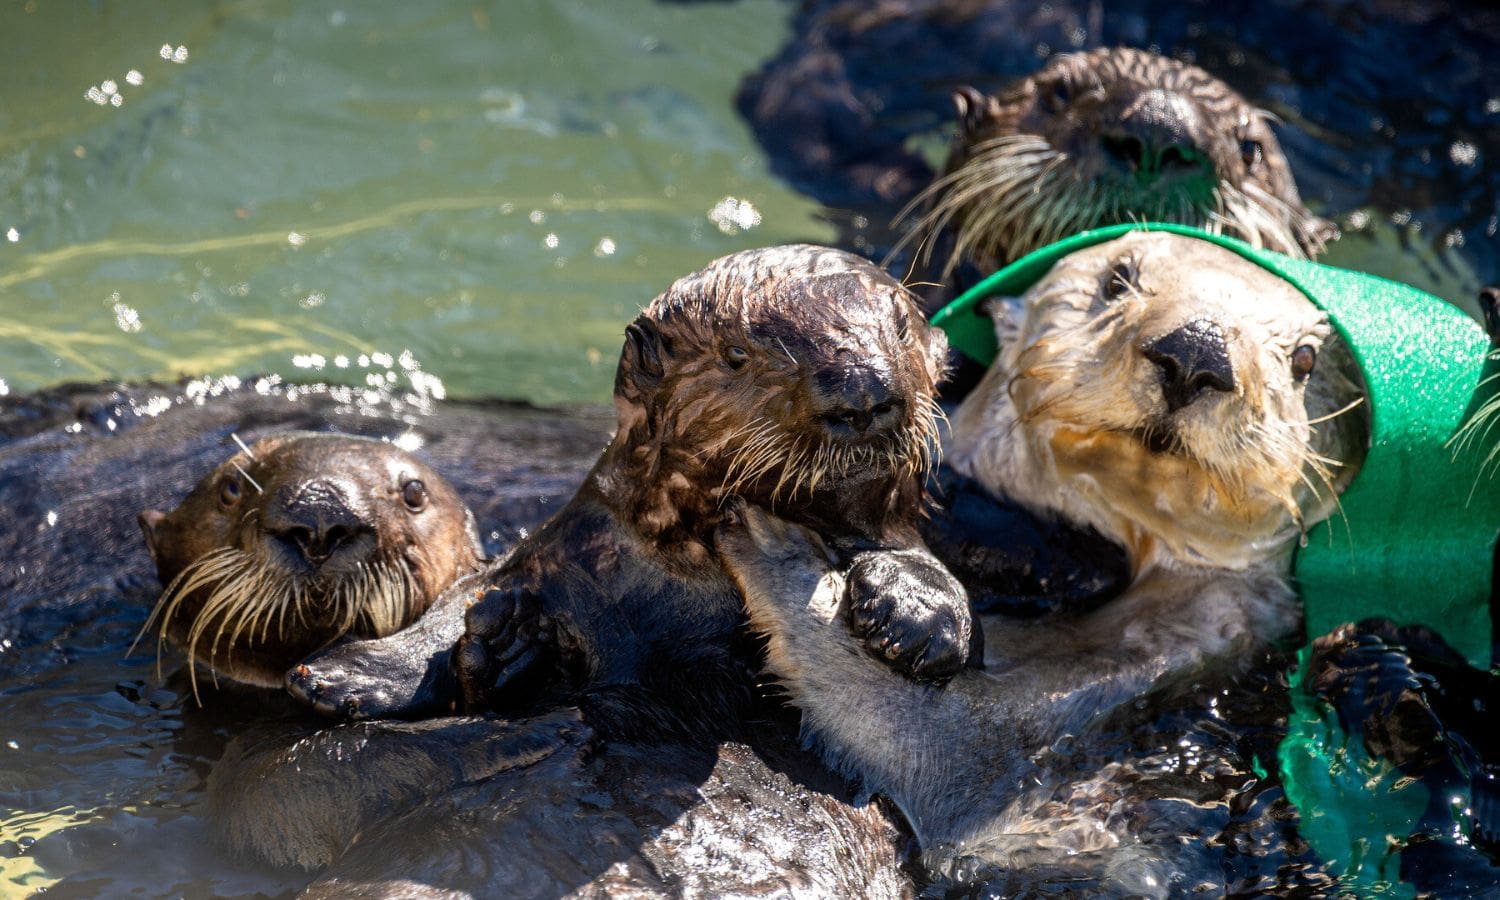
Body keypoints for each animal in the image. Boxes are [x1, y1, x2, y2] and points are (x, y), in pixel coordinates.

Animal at [292, 241, 972, 738]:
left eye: (901, 329)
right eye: (735, 355)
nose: (862, 393)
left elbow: (903, 550)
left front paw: (918, 613)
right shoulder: (566, 550)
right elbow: (463, 599)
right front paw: (349, 675)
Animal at [714, 232, 1374, 894]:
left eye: (1306, 359)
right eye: (1117, 278)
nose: (1197, 349)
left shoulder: (1188, 644)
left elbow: (944, 746)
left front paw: (797, 553)